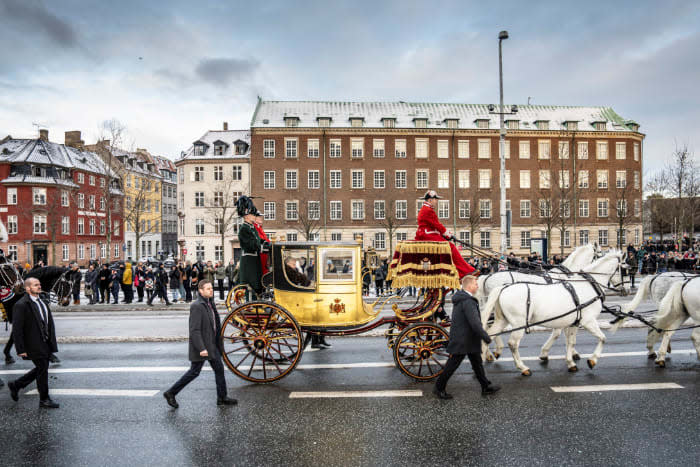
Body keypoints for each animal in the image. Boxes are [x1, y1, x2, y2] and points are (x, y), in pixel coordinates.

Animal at [482, 250, 624, 374]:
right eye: (625, 268)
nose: (625, 290)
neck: (587, 285)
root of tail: (503, 288)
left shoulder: (572, 321)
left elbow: (570, 340)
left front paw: (570, 360)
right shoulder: (587, 321)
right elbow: (601, 338)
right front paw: (591, 360)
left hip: (502, 319)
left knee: (489, 334)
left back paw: (487, 355)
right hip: (518, 323)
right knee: (512, 343)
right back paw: (522, 367)